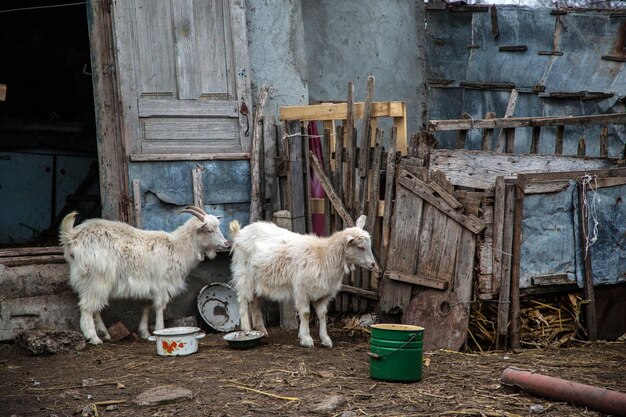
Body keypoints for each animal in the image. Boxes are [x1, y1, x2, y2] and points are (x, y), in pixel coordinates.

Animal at [58, 206, 228, 344]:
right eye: (210, 230)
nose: (226, 244)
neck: (176, 248)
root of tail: (73, 238)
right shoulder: (161, 284)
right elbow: (159, 307)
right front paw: (160, 330)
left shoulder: (147, 285)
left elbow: (145, 307)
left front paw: (144, 333)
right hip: (97, 277)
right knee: (87, 307)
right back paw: (93, 338)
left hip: (88, 281)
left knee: (95, 307)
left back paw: (104, 334)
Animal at [229, 214, 376, 348]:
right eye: (360, 247)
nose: (373, 264)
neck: (323, 256)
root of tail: (240, 232)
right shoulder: (302, 290)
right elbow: (305, 314)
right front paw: (306, 339)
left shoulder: (324, 294)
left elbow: (323, 314)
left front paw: (325, 339)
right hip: (244, 275)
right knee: (243, 301)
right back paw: (247, 330)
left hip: (259, 281)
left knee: (255, 303)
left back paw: (262, 331)